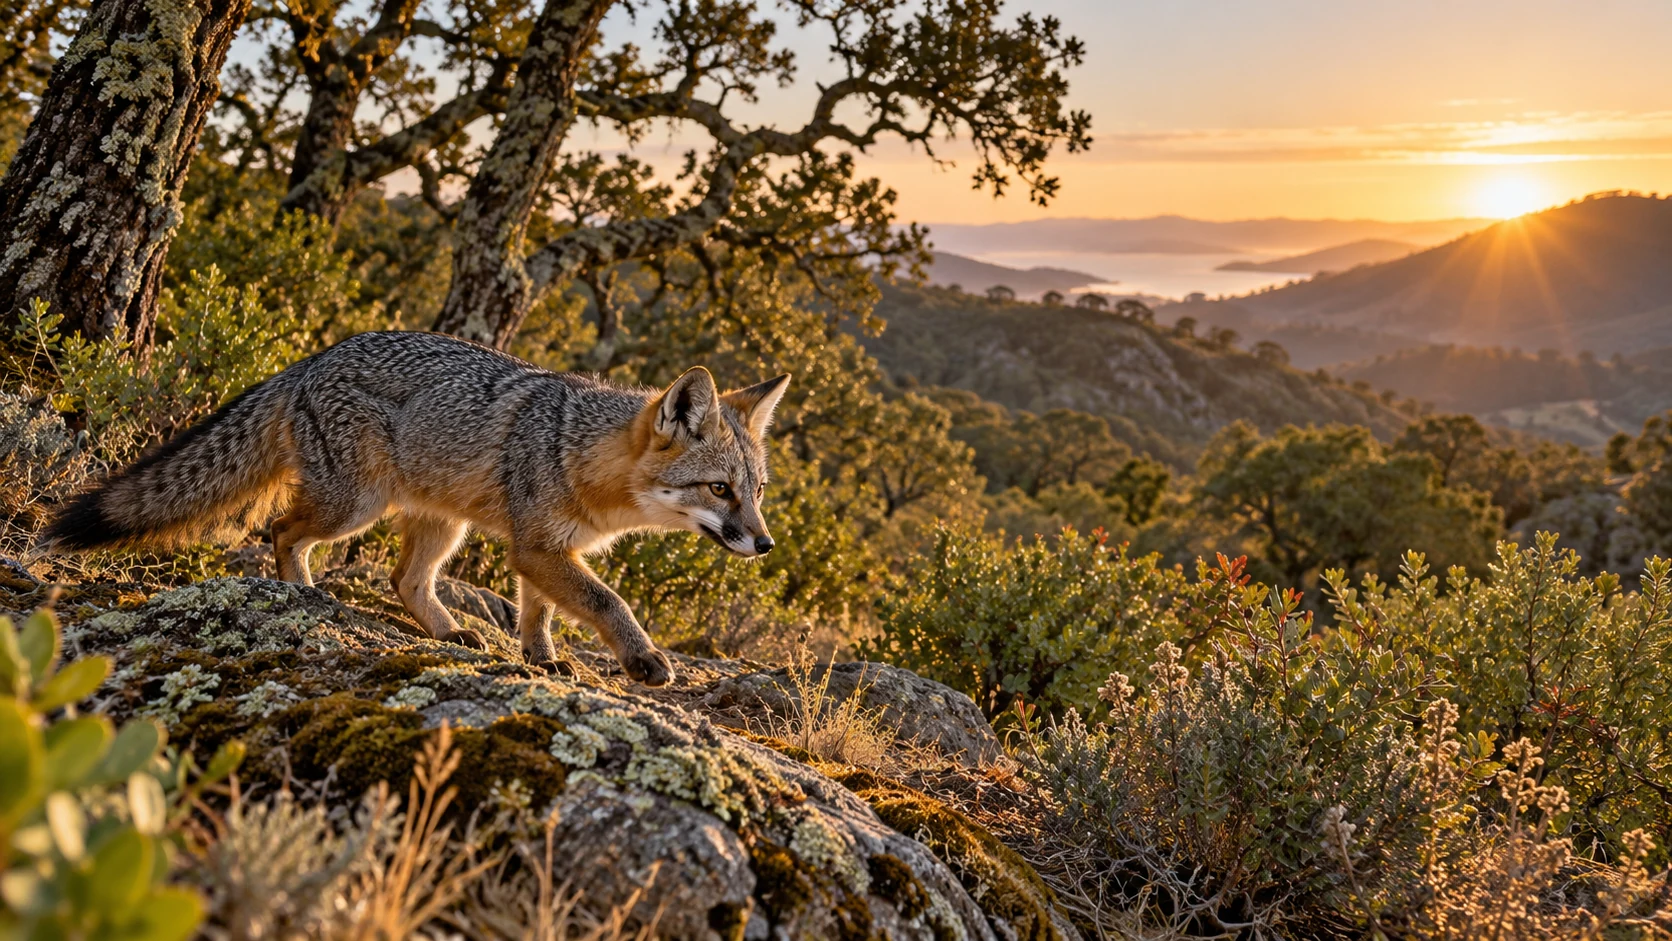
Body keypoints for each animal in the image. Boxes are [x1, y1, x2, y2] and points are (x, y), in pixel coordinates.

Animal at [38, 331, 792, 687]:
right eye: (719, 490)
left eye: (756, 492)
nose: (765, 545)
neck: (576, 449)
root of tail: (308, 360)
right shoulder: (539, 546)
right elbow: (607, 601)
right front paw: (642, 659)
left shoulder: (545, 547)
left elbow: (540, 612)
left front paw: (543, 660)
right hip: (354, 506)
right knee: (281, 529)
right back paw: (304, 595)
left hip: (442, 523)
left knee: (404, 580)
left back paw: (449, 630)